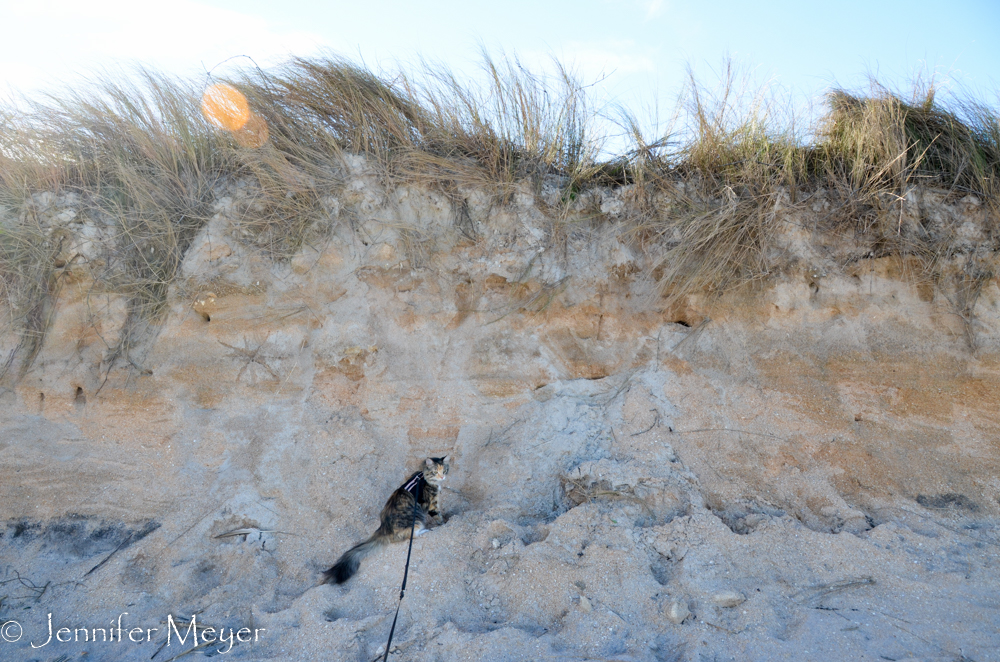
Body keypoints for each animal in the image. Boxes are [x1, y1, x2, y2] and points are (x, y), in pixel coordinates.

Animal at [324, 456, 450, 588]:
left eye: (444, 471)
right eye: (435, 472)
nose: (442, 477)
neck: (424, 476)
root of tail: (383, 528)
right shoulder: (432, 504)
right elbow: (438, 517)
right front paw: (444, 523)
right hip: (417, 521)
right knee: (412, 535)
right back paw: (425, 530)